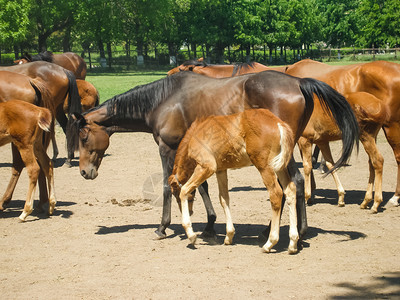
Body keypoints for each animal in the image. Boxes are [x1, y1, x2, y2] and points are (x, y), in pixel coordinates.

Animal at [169, 108, 300, 253]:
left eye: (174, 194)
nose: (189, 211)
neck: (195, 134)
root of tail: (278, 123)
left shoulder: (207, 167)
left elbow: (185, 190)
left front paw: (191, 235)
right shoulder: (220, 170)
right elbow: (224, 198)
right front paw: (229, 236)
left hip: (264, 166)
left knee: (276, 193)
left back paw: (270, 243)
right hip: (280, 167)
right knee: (290, 190)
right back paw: (293, 243)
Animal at [286, 58, 400, 209]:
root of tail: (379, 104)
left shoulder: (305, 140)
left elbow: (307, 165)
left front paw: (307, 196)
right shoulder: (322, 141)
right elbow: (330, 164)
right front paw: (340, 197)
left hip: (372, 134)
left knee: (379, 160)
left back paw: (378, 202)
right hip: (372, 137)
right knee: (372, 163)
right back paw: (366, 200)